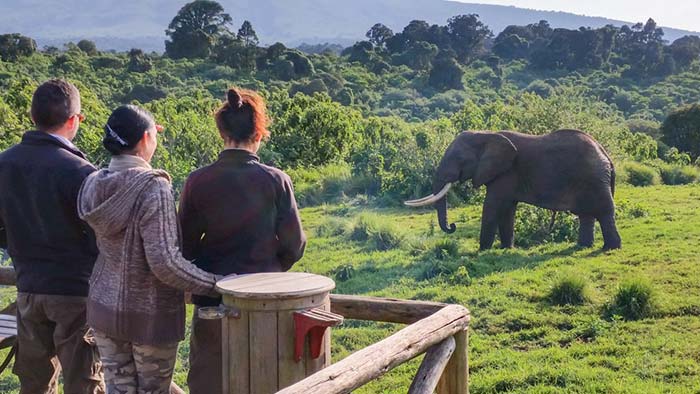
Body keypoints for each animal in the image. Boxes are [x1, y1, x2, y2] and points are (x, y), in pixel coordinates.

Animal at [404, 131, 624, 251]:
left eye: (459, 159)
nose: (452, 226)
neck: (486, 134)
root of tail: (606, 155)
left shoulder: (506, 173)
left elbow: (493, 206)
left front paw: (481, 251)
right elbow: (508, 209)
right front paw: (506, 249)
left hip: (594, 179)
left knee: (604, 212)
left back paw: (610, 248)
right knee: (586, 215)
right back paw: (583, 246)